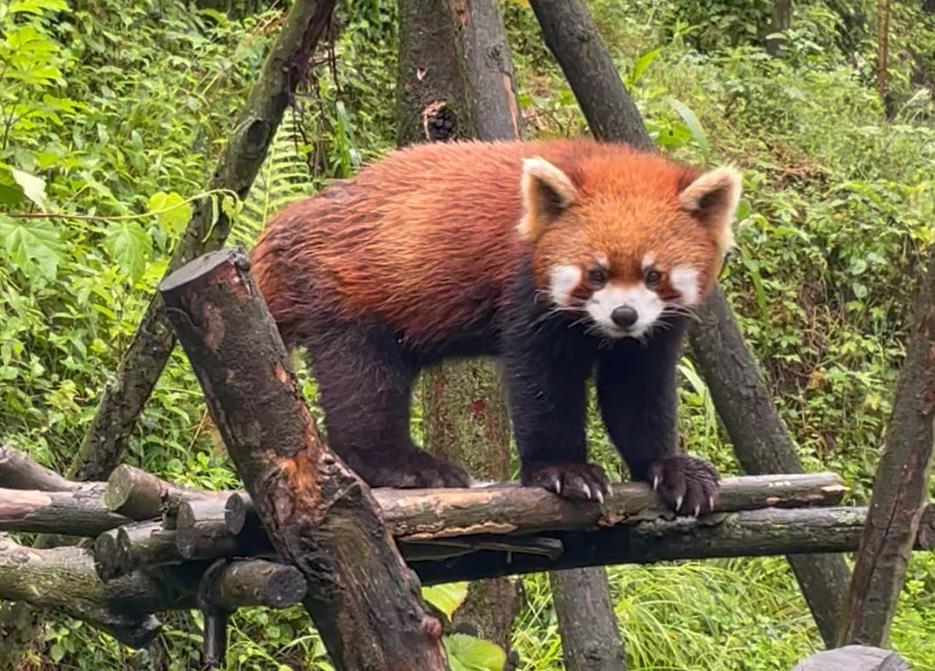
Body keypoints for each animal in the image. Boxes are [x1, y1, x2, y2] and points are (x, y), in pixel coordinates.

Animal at [252, 136, 744, 516]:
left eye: (653, 275)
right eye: (596, 273)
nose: (624, 315)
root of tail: (288, 221)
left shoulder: (655, 331)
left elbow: (638, 392)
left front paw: (670, 466)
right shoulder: (525, 290)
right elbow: (543, 384)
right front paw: (564, 469)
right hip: (347, 293)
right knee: (364, 386)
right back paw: (407, 465)